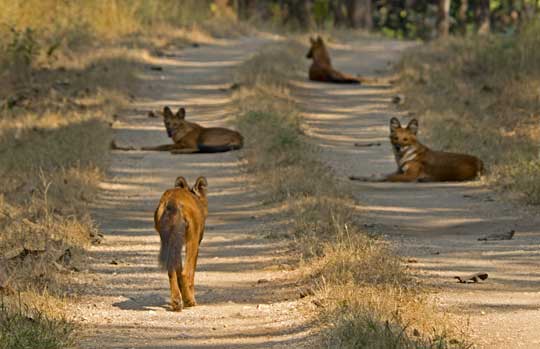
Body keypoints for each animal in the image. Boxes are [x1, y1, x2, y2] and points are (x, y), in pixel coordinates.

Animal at [155, 175, 210, 308]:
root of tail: (172, 201)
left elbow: (177, 269)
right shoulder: (195, 242)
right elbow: (190, 273)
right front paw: (189, 298)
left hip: (168, 241)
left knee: (171, 269)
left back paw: (176, 301)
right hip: (192, 240)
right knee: (185, 272)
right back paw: (189, 300)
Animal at [350, 117, 486, 182]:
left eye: (405, 139)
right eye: (395, 138)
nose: (398, 147)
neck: (403, 157)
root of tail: (479, 161)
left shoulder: (409, 175)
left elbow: (386, 177)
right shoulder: (399, 171)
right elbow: (377, 174)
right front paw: (358, 176)